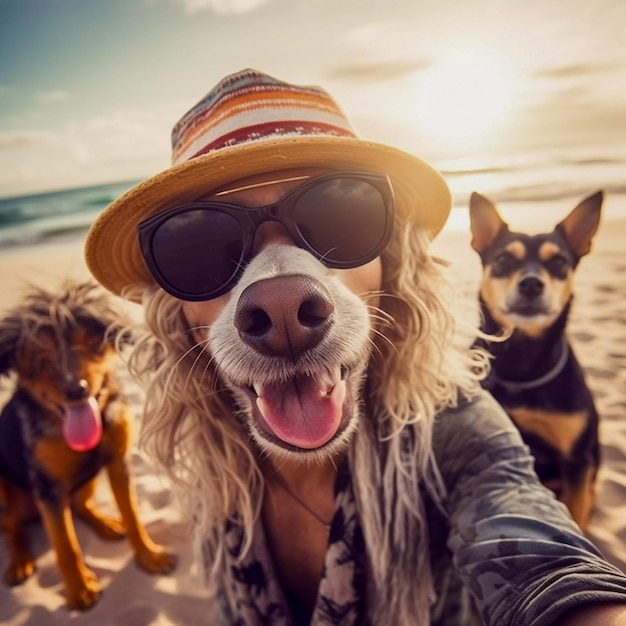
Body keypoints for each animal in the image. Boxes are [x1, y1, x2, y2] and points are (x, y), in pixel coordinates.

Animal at [0, 280, 176, 608]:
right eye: (39, 359)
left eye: (91, 346)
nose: (75, 389)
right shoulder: (49, 488)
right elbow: (65, 543)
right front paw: (79, 588)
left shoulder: (119, 462)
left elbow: (133, 514)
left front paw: (149, 555)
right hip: (3, 489)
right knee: (11, 526)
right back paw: (19, 561)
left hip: (88, 480)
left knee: (81, 505)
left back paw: (105, 523)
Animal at [470, 189, 604, 528]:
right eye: (504, 260)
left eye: (558, 262)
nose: (531, 283)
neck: (522, 364)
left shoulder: (577, 461)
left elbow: (577, 514)